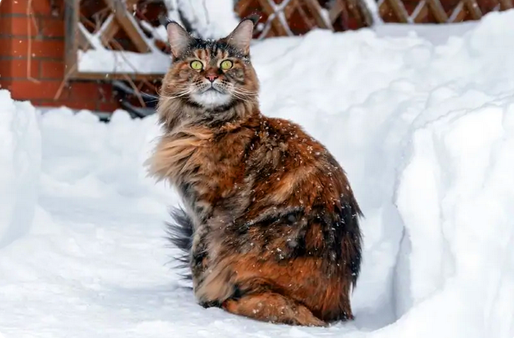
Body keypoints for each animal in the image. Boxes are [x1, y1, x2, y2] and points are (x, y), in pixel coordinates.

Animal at [146, 17, 362, 326]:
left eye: (226, 64)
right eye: (196, 64)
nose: (211, 76)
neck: (208, 126)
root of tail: (338, 309)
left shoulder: (207, 210)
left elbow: (199, 257)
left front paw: (202, 299)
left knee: (275, 306)